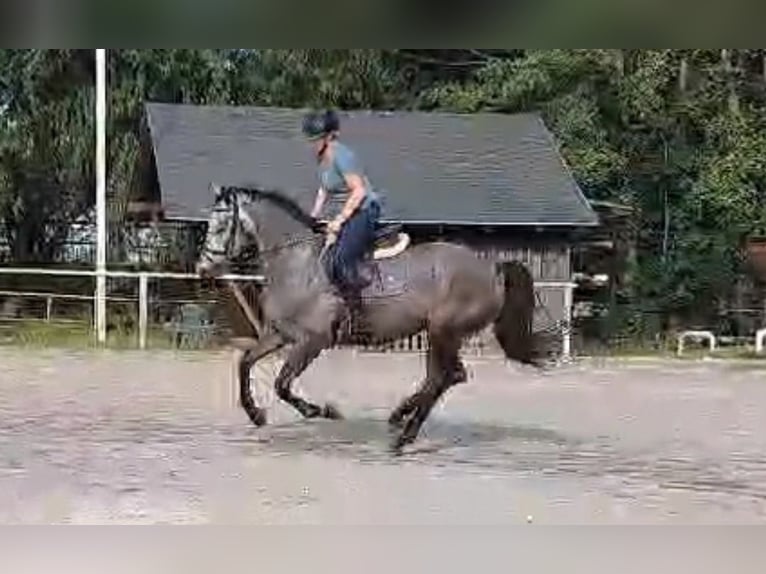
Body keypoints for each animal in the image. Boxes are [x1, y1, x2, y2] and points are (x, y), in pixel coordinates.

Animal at [196, 183, 547, 452]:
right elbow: (244, 362)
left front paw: (322, 411)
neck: (296, 262)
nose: (203, 269)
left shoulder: (313, 341)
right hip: (442, 334)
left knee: (442, 378)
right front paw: (256, 415)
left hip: (443, 331)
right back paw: (399, 418)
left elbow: (282, 384)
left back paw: (402, 436)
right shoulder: (279, 334)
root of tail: (491, 267)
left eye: (220, 227)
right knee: (448, 376)